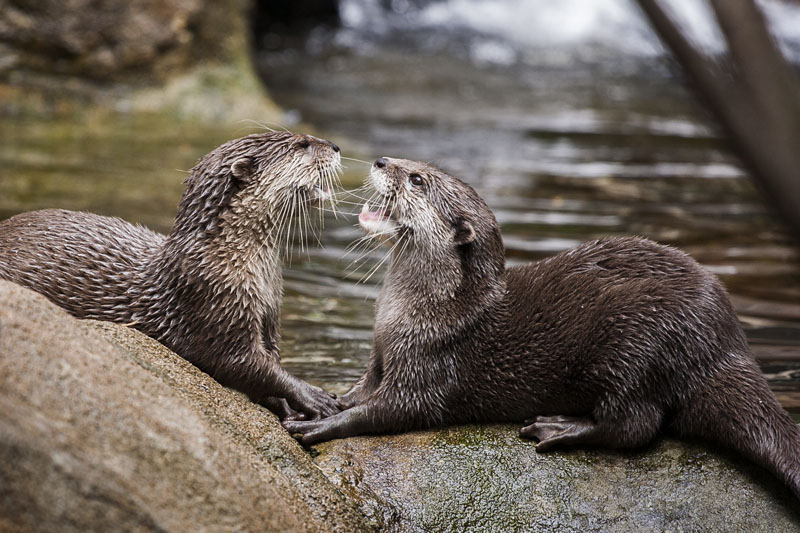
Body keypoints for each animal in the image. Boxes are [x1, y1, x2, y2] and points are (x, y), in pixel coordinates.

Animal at [0, 130, 340, 420]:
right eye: (302, 144)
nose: (335, 147)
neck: (234, 259)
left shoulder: (269, 313)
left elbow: (270, 359)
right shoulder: (213, 297)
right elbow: (245, 364)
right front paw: (312, 395)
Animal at [286, 156, 800, 500]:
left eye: (416, 178)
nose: (379, 160)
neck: (415, 311)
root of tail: (727, 345)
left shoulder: (430, 364)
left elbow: (394, 410)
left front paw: (324, 425)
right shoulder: (381, 352)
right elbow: (361, 389)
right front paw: (324, 400)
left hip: (637, 341)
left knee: (635, 425)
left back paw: (558, 427)